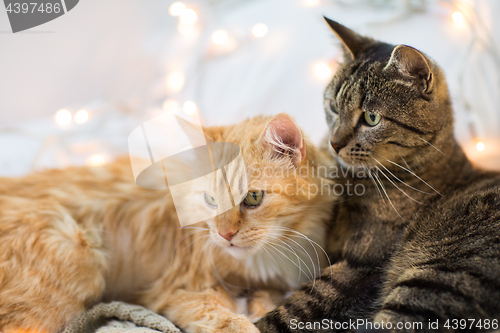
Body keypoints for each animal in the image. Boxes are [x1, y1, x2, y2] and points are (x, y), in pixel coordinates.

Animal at [0, 113, 336, 332]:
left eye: (253, 197)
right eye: (210, 199)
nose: (224, 234)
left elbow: (270, 297)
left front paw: (259, 305)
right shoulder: (179, 291)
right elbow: (227, 319)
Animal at [256, 18, 500, 332]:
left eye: (371, 118)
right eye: (333, 106)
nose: (334, 143)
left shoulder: (359, 267)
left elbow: (288, 312)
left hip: (434, 282)